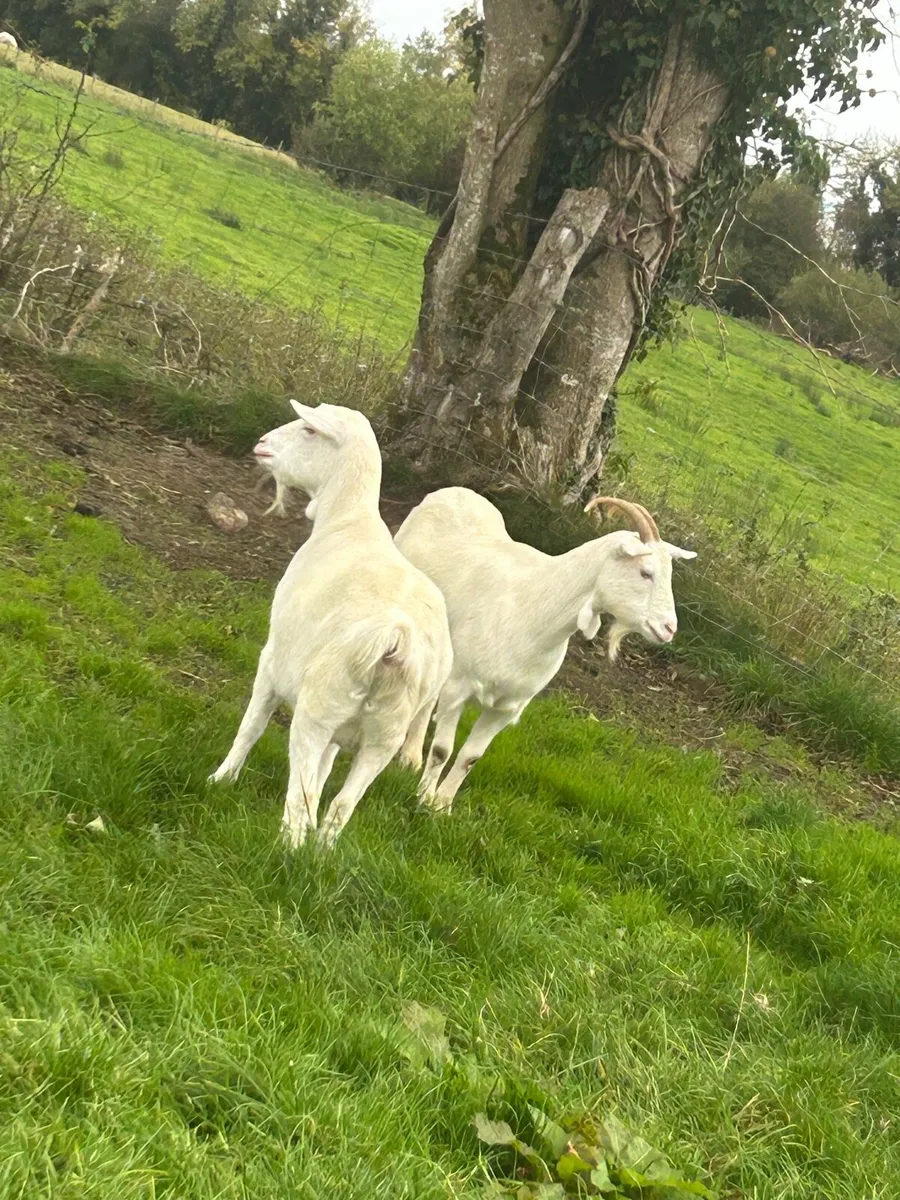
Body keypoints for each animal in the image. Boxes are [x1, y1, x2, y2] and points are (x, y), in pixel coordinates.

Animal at [209, 400, 453, 848]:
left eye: (308, 429)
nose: (262, 443)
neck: (345, 521)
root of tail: (398, 638)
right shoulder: (346, 733)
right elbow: (324, 773)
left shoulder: (272, 661)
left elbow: (251, 727)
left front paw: (221, 779)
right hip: (384, 735)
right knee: (342, 806)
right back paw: (320, 852)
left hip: (318, 708)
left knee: (299, 798)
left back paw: (288, 849)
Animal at [394, 488, 696, 812]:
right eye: (645, 572)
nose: (669, 628)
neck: (534, 604)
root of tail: (454, 492)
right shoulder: (459, 687)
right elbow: (442, 749)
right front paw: (424, 799)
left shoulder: (507, 707)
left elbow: (469, 758)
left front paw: (442, 806)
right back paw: (410, 757)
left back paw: (411, 756)